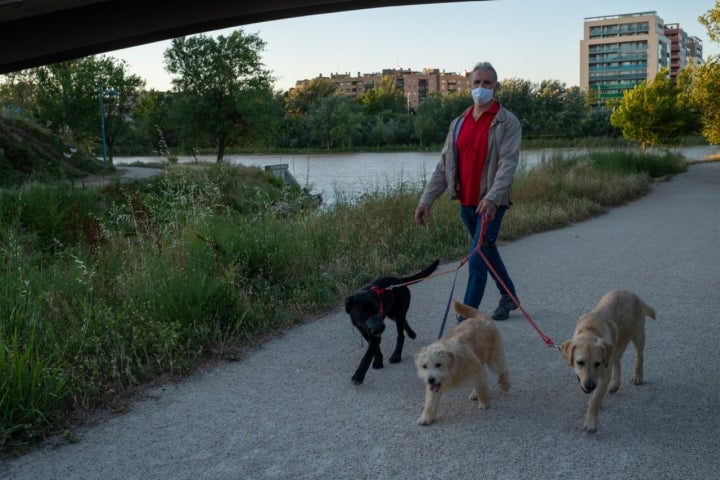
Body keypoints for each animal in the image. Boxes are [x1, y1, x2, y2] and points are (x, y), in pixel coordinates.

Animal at [344, 258, 438, 386]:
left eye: (377, 309)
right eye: (364, 313)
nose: (379, 327)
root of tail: (399, 280)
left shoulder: (375, 335)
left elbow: (367, 355)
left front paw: (359, 375)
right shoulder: (364, 332)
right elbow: (375, 349)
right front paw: (378, 361)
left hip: (398, 313)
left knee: (401, 335)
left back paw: (396, 355)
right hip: (392, 314)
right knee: (403, 321)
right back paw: (411, 333)